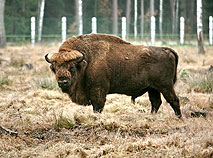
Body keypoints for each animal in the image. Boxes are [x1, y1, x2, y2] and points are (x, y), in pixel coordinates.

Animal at [45, 33, 181, 118]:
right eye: (54, 68)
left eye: (72, 67)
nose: (63, 82)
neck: (86, 61)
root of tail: (166, 50)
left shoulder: (98, 92)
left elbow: (97, 107)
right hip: (152, 88)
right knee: (156, 102)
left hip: (165, 86)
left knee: (173, 100)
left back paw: (179, 118)